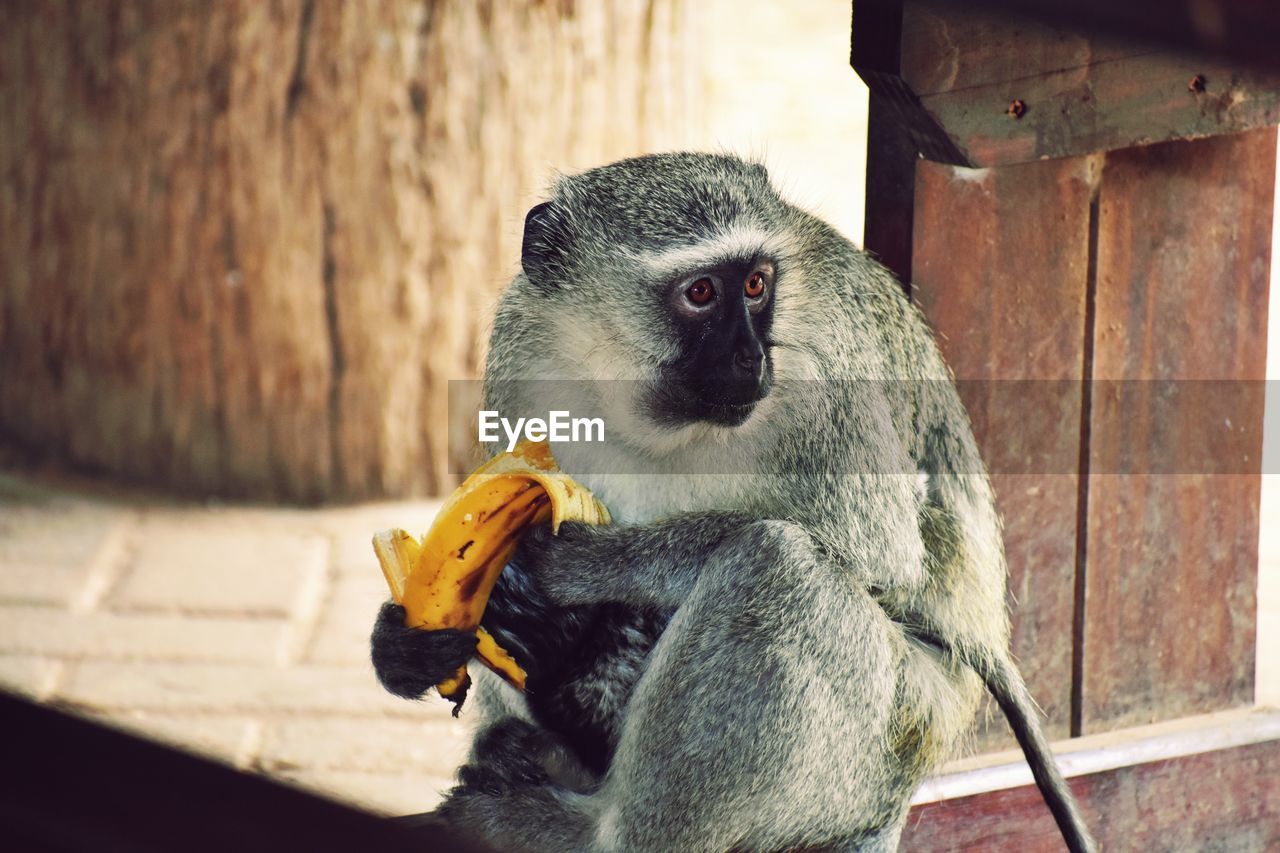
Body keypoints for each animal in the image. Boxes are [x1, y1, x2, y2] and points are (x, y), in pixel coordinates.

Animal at [368, 153, 1090, 850]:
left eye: (756, 285)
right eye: (701, 293)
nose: (750, 356)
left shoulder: (825, 375)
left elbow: (875, 558)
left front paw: (585, 565)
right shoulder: (523, 342)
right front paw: (405, 642)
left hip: (888, 738)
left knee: (777, 564)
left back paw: (589, 826)